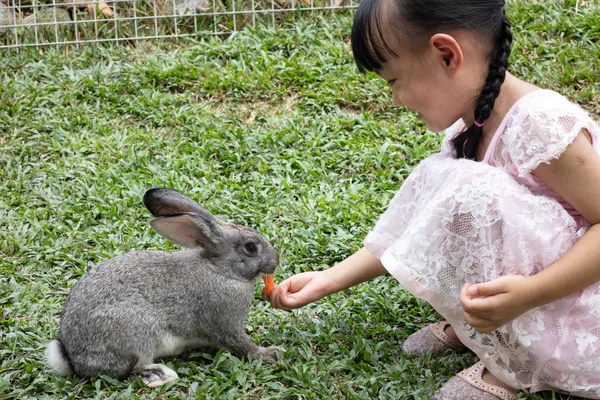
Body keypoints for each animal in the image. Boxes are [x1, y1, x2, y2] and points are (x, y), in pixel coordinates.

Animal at [46, 188, 282, 388]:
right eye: (250, 248)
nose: (275, 262)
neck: (221, 269)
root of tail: (72, 358)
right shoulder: (224, 324)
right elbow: (242, 345)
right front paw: (270, 353)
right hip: (135, 335)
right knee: (126, 370)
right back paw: (160, 375)